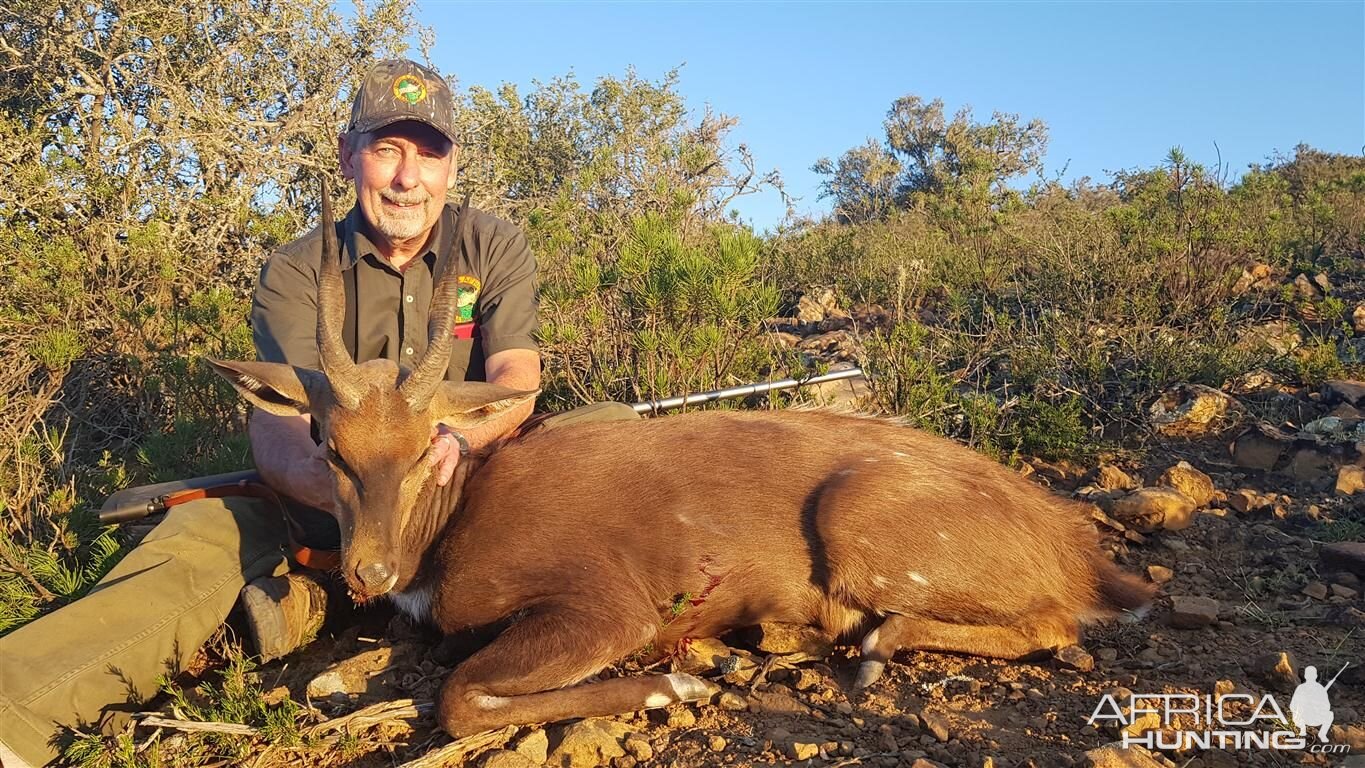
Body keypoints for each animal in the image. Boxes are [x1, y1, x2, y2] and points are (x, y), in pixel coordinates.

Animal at [210, 181, 1152, 736]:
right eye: (327, 444)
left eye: (425, 449)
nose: (368, 571)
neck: (446, 535)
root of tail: (1073, 543)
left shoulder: (605, 605)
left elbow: (461, 695)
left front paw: (679, 688)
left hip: (859, 528)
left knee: (1053, 623)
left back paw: (866, 644)